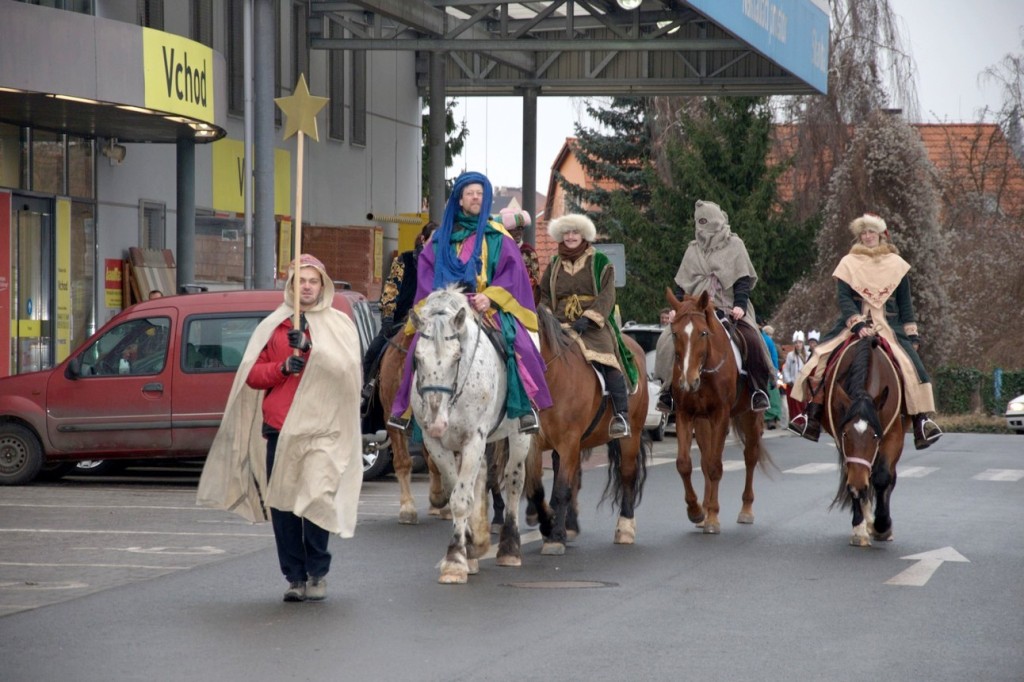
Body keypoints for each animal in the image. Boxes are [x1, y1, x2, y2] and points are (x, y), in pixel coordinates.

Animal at [528, 303, 647, 552]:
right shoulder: (535, 443)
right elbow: (535, 488)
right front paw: (548, 525)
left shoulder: (569, 441)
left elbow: (562, 488)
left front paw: (555, 537)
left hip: (630, 435)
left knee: (627, 475)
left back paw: (625, 527)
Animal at [663, 286, 770, 532]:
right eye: (675, 333)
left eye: (703, 333)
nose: (688, 381)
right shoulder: (685, 414)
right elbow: (685, 464)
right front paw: (696, 511)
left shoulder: (720, 415)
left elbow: (715, 466)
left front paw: (712, 516)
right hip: (703, 422)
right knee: (704, 460)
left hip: (750, 417)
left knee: (749, 457)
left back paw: (746, 509)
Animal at [823, 335, 905, 548]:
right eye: (846, 434)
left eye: (874, 436)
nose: (858, 485)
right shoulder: (841, 440)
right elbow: (851, 476)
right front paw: (860, 527)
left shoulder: (893, 435)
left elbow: (883, 477)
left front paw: (882, 525)